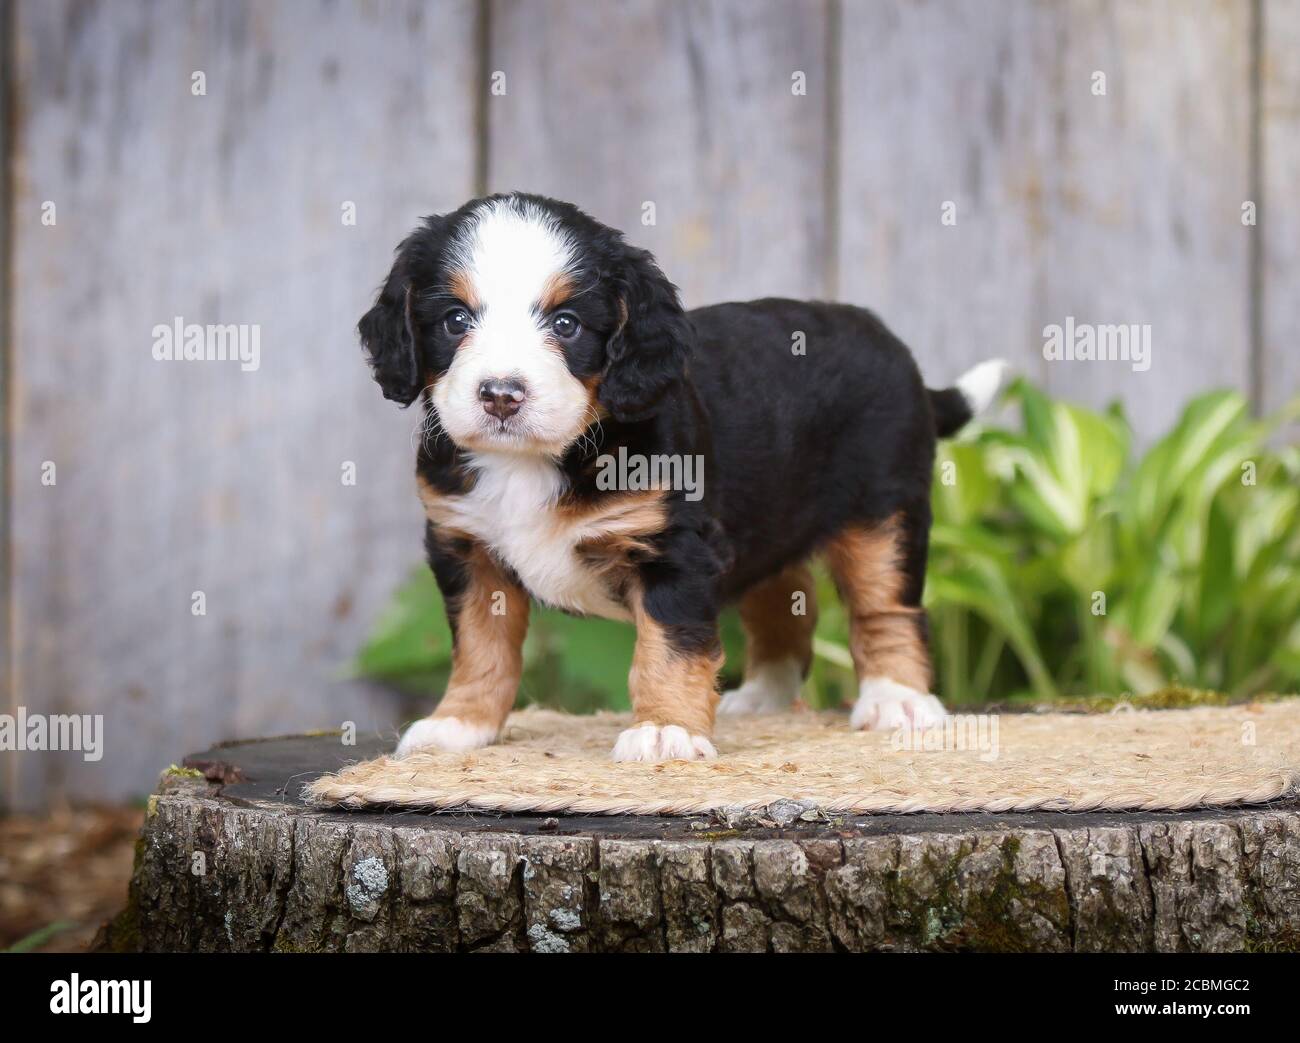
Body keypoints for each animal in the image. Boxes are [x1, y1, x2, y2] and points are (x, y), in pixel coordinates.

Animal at [361, 192, 1008, 764]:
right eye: (455, 320)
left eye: (567, 324)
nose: (500, 394)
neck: (538, 458)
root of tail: (892, 346)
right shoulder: (467, 549)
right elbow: (480, 646)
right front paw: (460, 724)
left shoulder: (674, 550)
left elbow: (668, 649)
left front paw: (663, 730)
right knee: (783, 606)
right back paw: (765, 698)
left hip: (881, 511)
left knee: (886, 607)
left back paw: (897, 699)